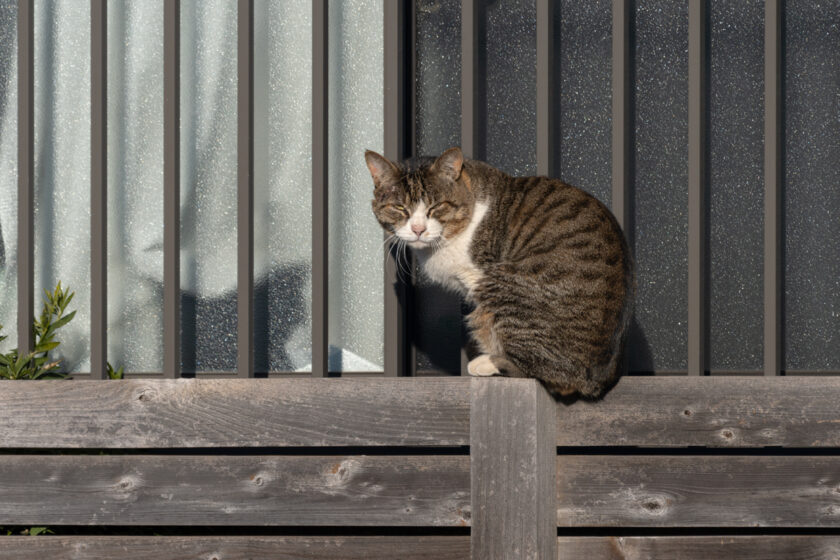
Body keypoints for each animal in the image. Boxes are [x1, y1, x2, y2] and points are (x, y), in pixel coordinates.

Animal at [364, 147, 632, 396]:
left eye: (437, 207)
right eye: (399, 208)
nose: (418, 229)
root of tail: (594, 380)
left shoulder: (477, 279)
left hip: (502, 285)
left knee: (548, 375)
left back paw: (487, 363)